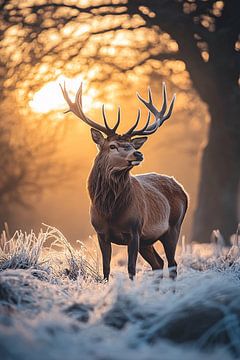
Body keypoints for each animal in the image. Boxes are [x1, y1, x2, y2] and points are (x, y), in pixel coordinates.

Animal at [60, 81, 188, 282]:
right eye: (112, 146)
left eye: (131, 145)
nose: (138, 153)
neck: (110, 210)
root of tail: (183, 190)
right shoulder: (101, 233)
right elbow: (106, 268)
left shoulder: (134, 230)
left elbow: (131, 268)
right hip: (147, 240)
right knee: (158, 263)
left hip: (173, 227)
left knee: (173, 264)